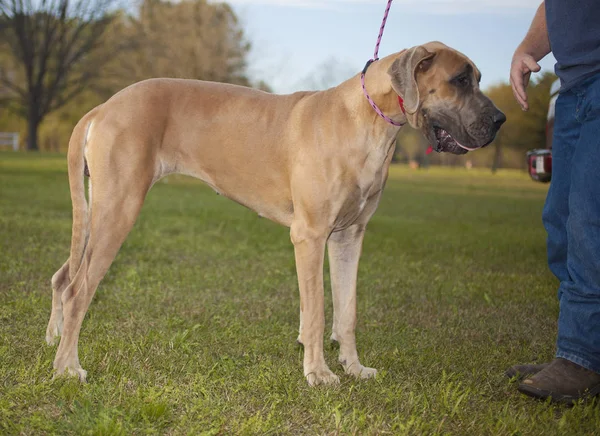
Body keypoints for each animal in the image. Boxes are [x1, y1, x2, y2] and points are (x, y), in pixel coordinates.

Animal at [48, 41, 506, 384]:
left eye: (479, 78)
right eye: (460, 80)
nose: (501, 119)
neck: (370, 121)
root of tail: (102, 107)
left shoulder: (349, 236)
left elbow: (348, 309)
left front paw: (354, 367)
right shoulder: (310, 235)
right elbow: (317, 310)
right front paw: (319, 373)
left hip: (99, 210)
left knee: (63, 276)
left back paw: (55, 342)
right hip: (119, 208)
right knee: (78, 289)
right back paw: (68, 368)